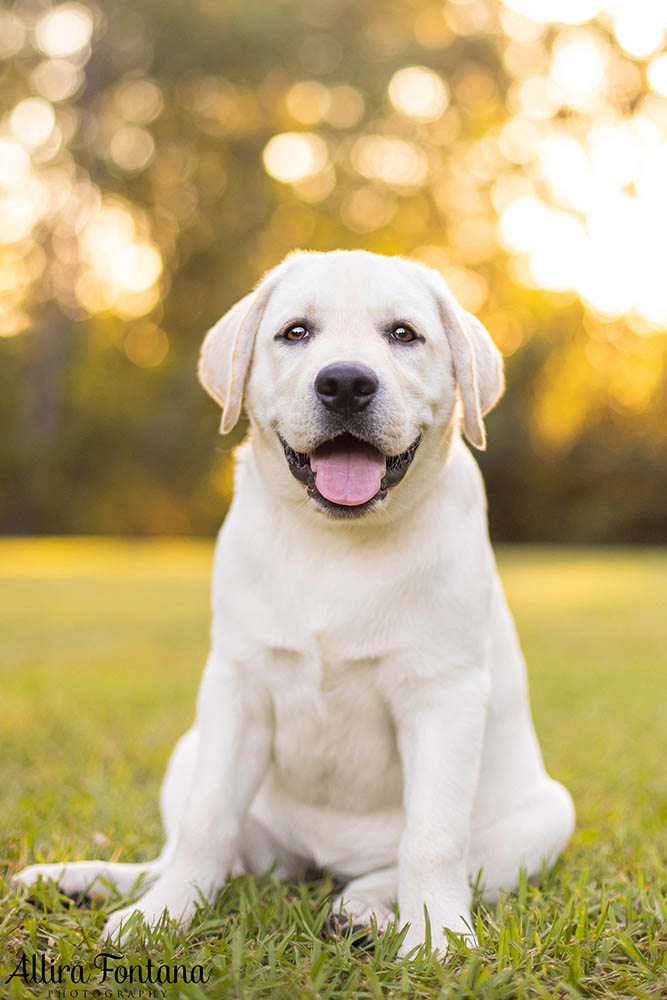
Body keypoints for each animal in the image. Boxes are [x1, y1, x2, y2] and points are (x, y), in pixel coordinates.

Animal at [18, 250, 576, 952]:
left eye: (404, 334)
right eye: (295, 332)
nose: (345, 383)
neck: (336, 541)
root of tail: (317, 862)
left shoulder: (442, 696)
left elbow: (432, 839)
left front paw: (440, 940)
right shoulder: (237, 686)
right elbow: (206, 823)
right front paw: (162, 916)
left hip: (547, 815)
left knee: (395, 866)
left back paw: (363, 908)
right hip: (190, 749)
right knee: (197, 857)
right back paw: (82, 880)